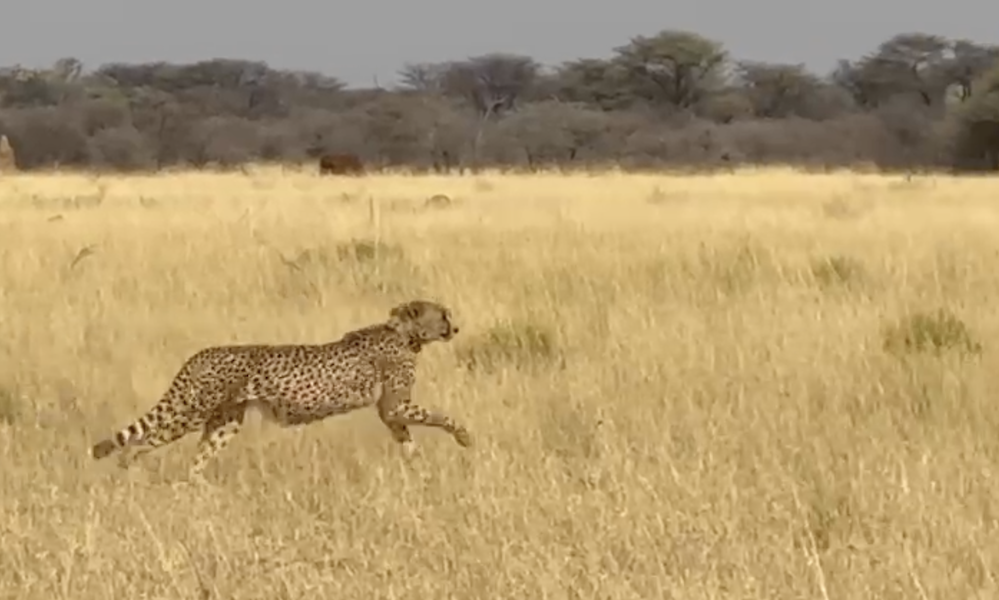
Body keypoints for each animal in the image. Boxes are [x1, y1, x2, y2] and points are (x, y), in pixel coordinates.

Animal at [89, 299, 471, 481]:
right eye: (443, 314)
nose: (455, 328)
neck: (403, 333)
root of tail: (201, 353)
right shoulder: (395, 405)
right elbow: (440, 416)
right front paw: (464, 436)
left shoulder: (389, 412)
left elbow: (407, 438)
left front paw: (418, 467)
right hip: (190, 412)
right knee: (140, 443)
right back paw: (130, 473)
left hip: (225, 422)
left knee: (196, 461)